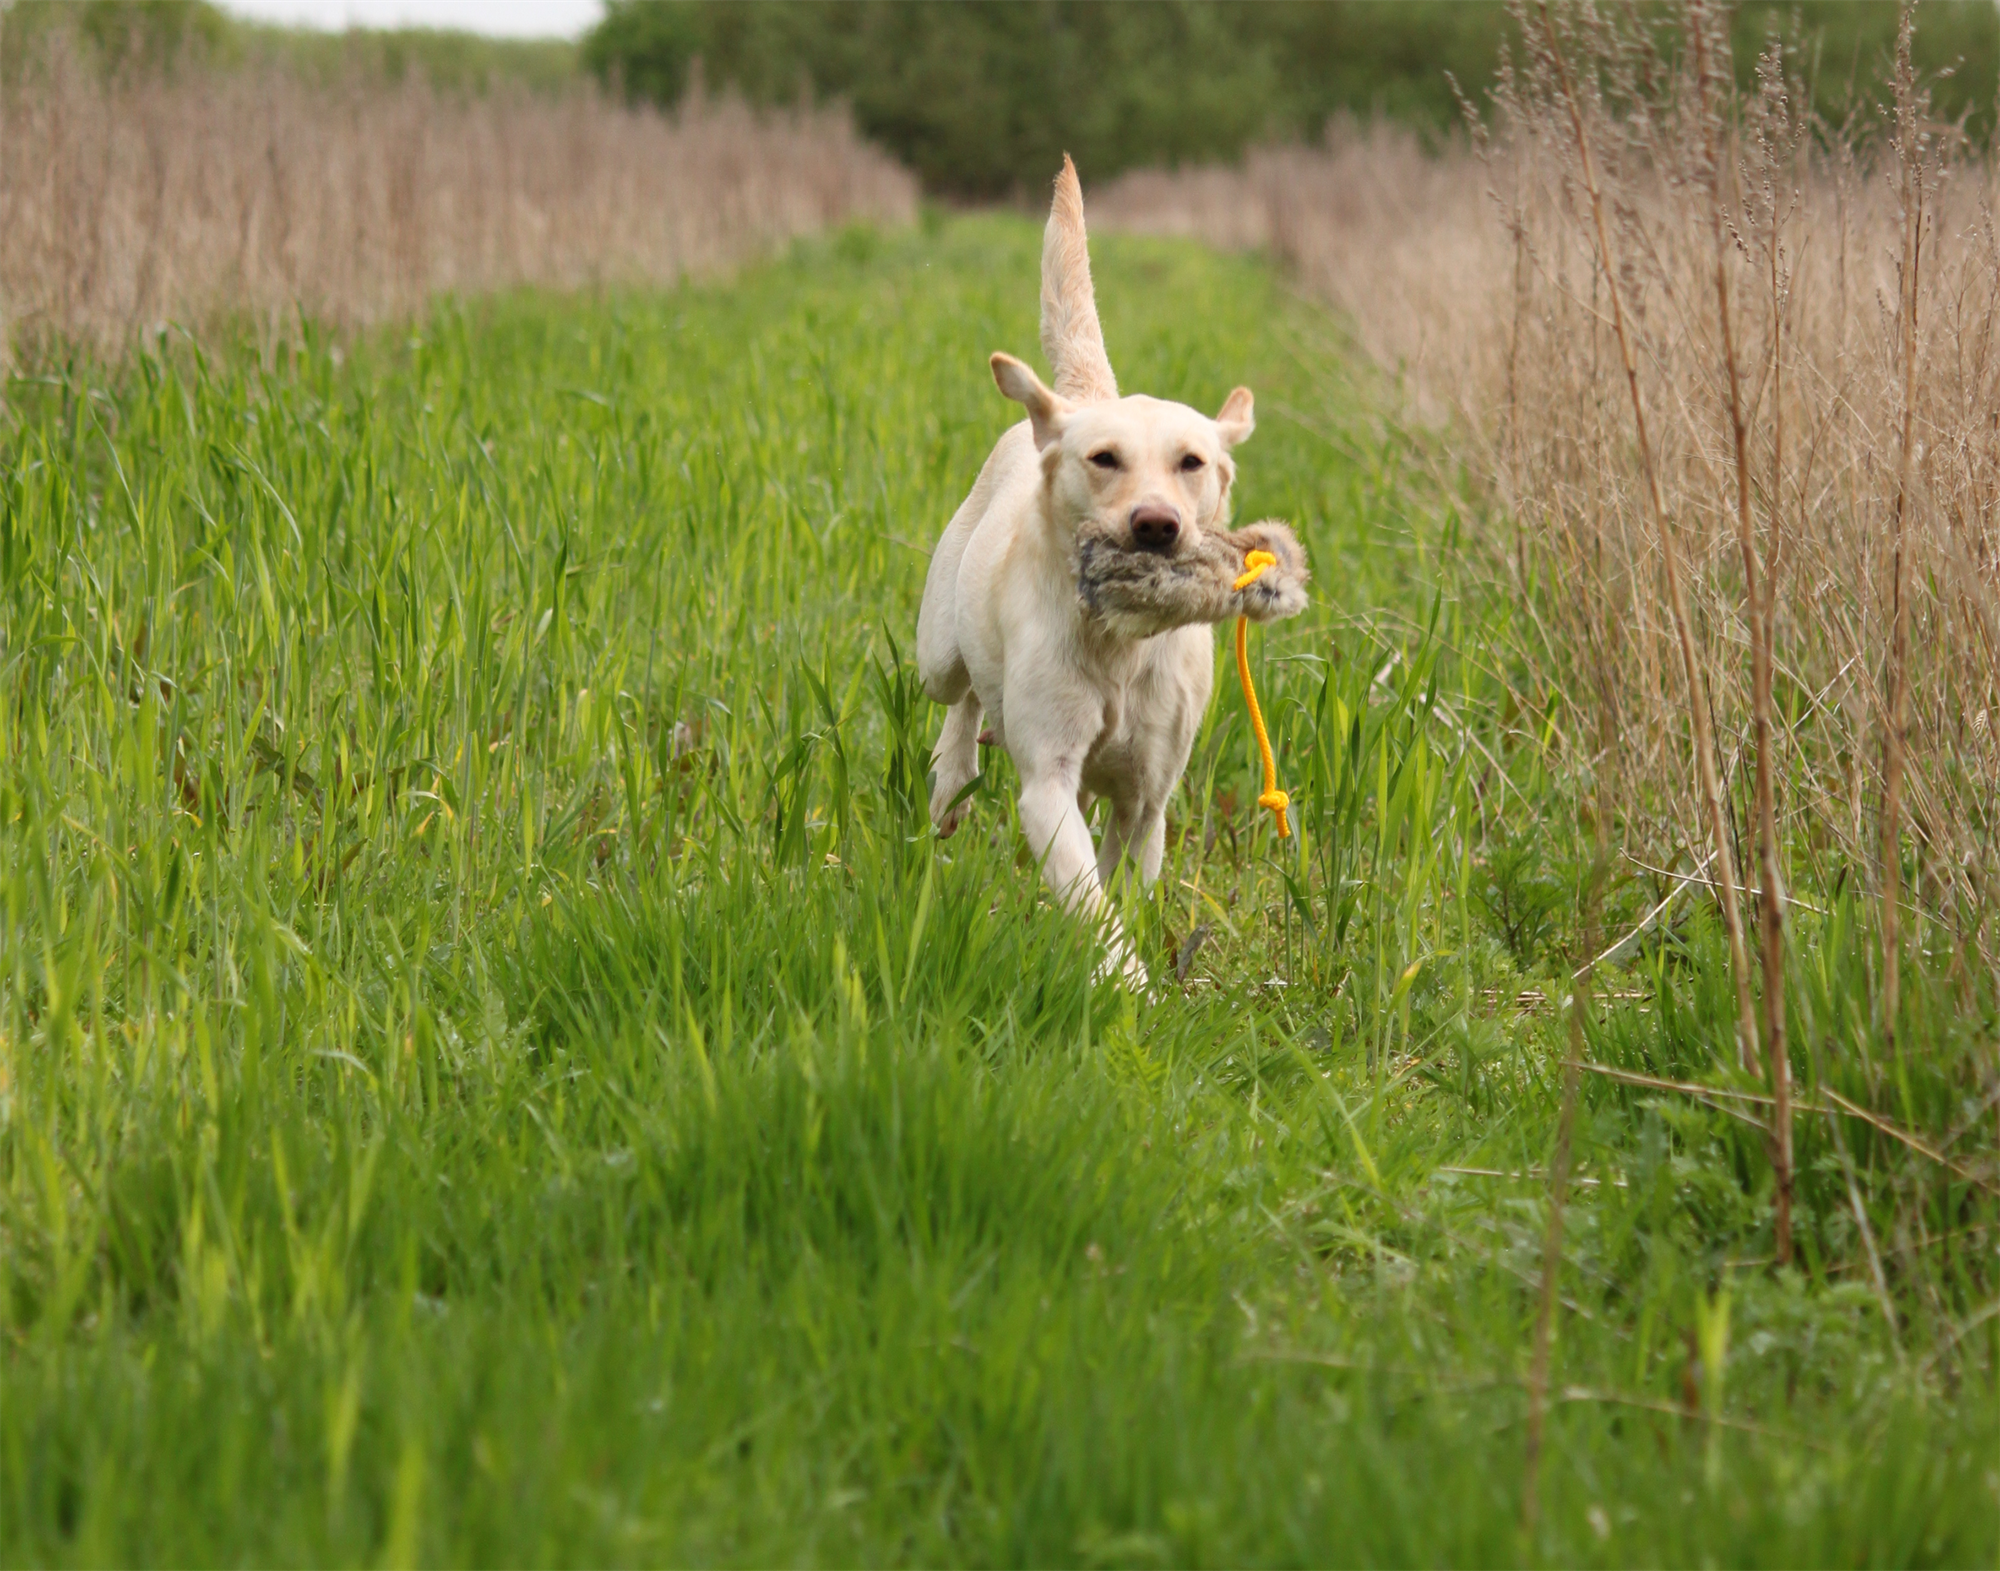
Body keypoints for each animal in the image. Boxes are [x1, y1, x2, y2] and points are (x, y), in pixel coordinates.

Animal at [916, 152, 1304, 971]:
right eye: (1104, 459)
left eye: (1191, 462)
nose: (1155, 526)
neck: (1120, 645)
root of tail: (1064, 403)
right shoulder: (1048, 783)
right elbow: (1092, 903)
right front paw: (1125, 980)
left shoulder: (1147, 797)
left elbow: (1123, 882)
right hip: (937, 647)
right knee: (960, 693)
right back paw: (954, 773)